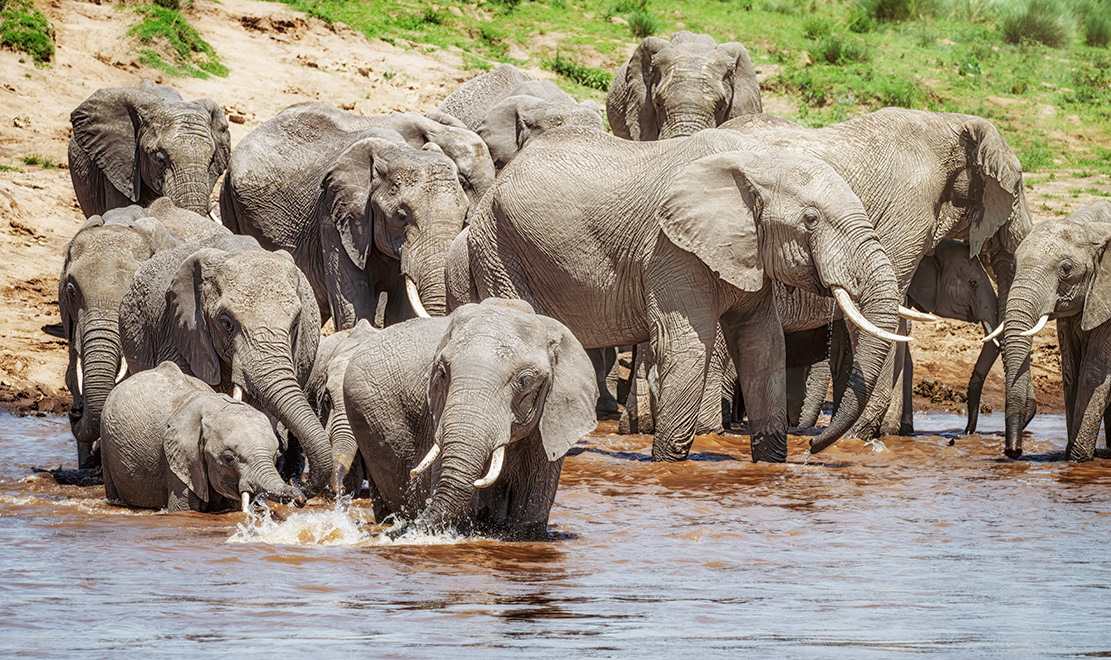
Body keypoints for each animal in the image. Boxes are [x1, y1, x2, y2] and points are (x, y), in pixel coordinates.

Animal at [101, 361, 306, 512]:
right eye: (228, 458)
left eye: (275, 456)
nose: (300, 499)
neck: (214, 407)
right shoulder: (179, 460)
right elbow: (184, 509)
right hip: (106, 442)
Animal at [219, 102, 490, 329]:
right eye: (401, 216)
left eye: (463, 215)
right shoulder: (334, 213)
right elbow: (354, 304)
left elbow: (401, 311)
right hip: (230, 200)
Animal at [460, 126, 909, 463]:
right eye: (811, 220)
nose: (813, 446)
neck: (761, 160)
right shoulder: (669, 248)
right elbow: (688, 347)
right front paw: (668, 467)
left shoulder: (747, 253)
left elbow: (763, 345)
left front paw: (770, 464)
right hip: (497, 245)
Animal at [1000, 201, 1111, 460]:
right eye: (1013, 265)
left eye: (1066, 268)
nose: (1014, 451)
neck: (1089, 229)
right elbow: (1071, 372)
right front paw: (1071, 459)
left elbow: (1094, 372)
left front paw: (1078, 460)